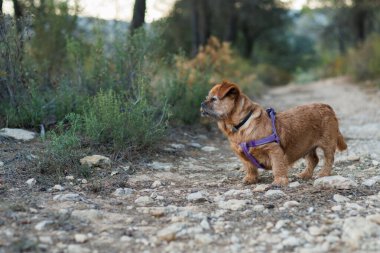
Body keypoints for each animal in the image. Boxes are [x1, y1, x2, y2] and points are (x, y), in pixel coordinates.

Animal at [202, 81, 348, 186]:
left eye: (214, 99)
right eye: (207, 98)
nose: (202, 103)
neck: (242, 125)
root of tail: (327, 106)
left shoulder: (274, 150)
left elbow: (278, 167)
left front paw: (280, 180)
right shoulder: (243, 155)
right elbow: (250, 167)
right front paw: (251, 178)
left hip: (327, 144)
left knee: (329, 159)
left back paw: (324, 174)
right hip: (305, 146)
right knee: (314, 160)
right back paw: (305, 174)